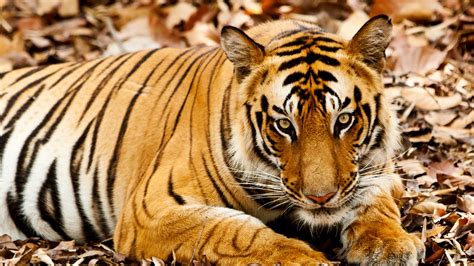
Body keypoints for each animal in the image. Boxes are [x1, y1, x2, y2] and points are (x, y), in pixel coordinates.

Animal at [0, 15, 426, 264]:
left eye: (344, 120)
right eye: (283, 125)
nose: (321, 198)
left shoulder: (382, 170)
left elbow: (376, 202)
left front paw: (390, 245)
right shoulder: (150, 209)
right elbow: (235, 232)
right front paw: (305, 258)